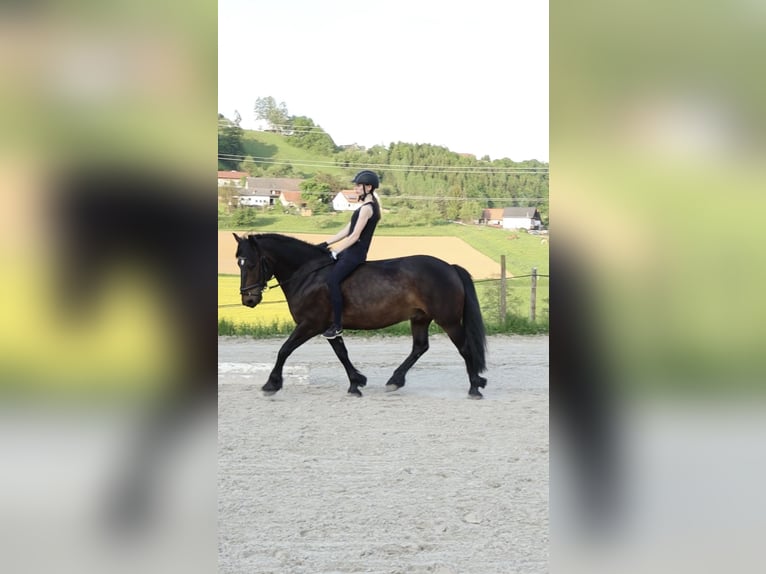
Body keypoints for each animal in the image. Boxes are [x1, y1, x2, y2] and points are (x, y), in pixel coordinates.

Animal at [232, 234, 492, 400]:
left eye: (252, 263)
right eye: (239, 263)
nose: (248, 300)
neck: (308, 275)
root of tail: (449, 267)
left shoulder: (310, 324)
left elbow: (284, 350)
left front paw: (271, 384)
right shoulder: (329, 327)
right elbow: (341, 353)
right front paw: (356, 382)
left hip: (448, 320)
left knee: (464, 348)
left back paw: (474, 387)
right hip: (420, 318)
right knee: (420, 347)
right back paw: (395, 380)